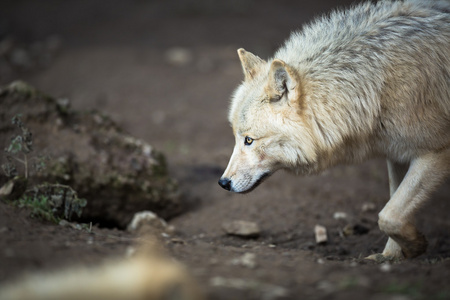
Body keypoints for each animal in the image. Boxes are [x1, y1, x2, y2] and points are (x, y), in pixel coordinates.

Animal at [217, 0, 446, 260]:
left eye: (249, 140)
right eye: (237, 138)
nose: (223, 183)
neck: (375, 86)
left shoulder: (436, 152)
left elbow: (388, 215)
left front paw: (415, 246)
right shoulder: (395, 154)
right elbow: (393, 205)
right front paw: (391, 257)